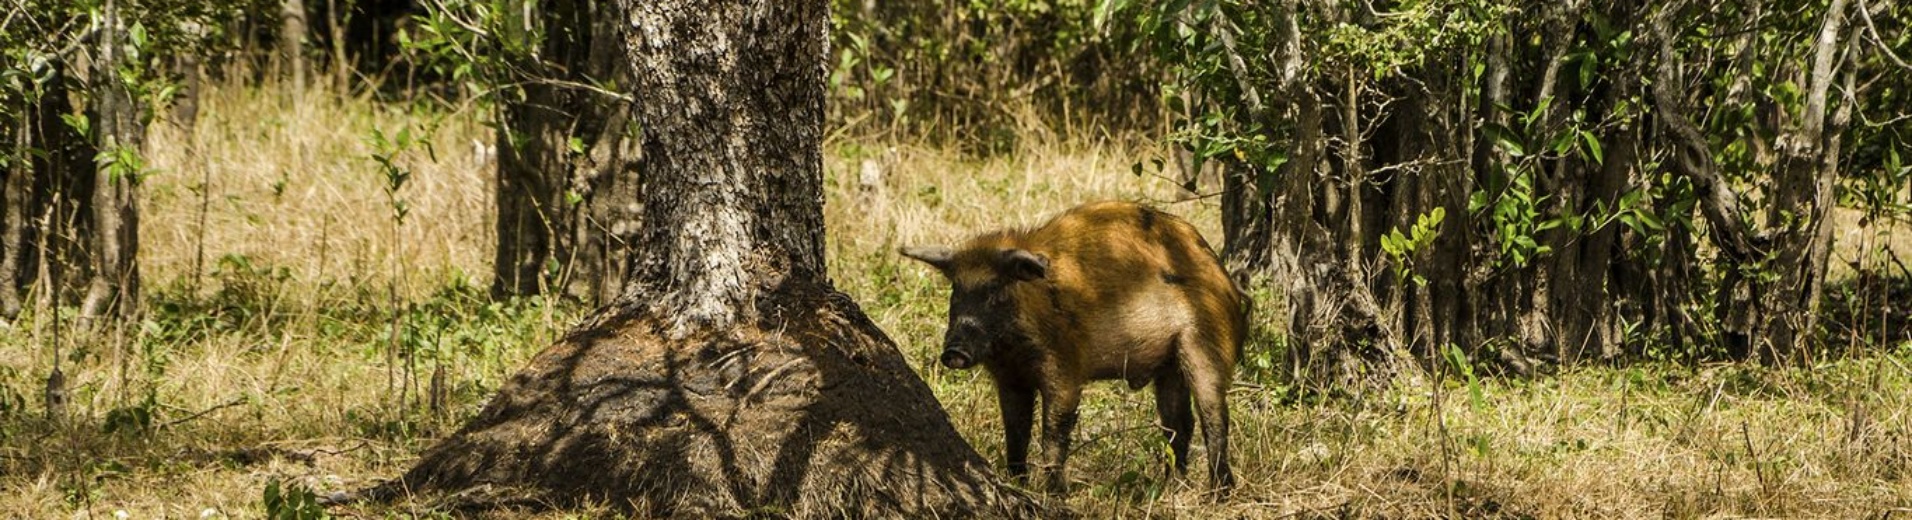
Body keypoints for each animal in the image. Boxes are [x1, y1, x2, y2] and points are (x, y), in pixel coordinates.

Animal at [902, 199, 1246, 497]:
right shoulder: (1010, 379)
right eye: (956, 291)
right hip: (1169, 365)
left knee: (1214, 416)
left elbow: (1052, 432)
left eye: (995, 291)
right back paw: (1171, 488)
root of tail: (1224, 277)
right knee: (1178, 423)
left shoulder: (1065, 367)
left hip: (1206, 343)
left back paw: (1219, 494)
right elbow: (1015, 432)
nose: (954, 352)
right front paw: (1018, 483)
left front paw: (1056, 493)